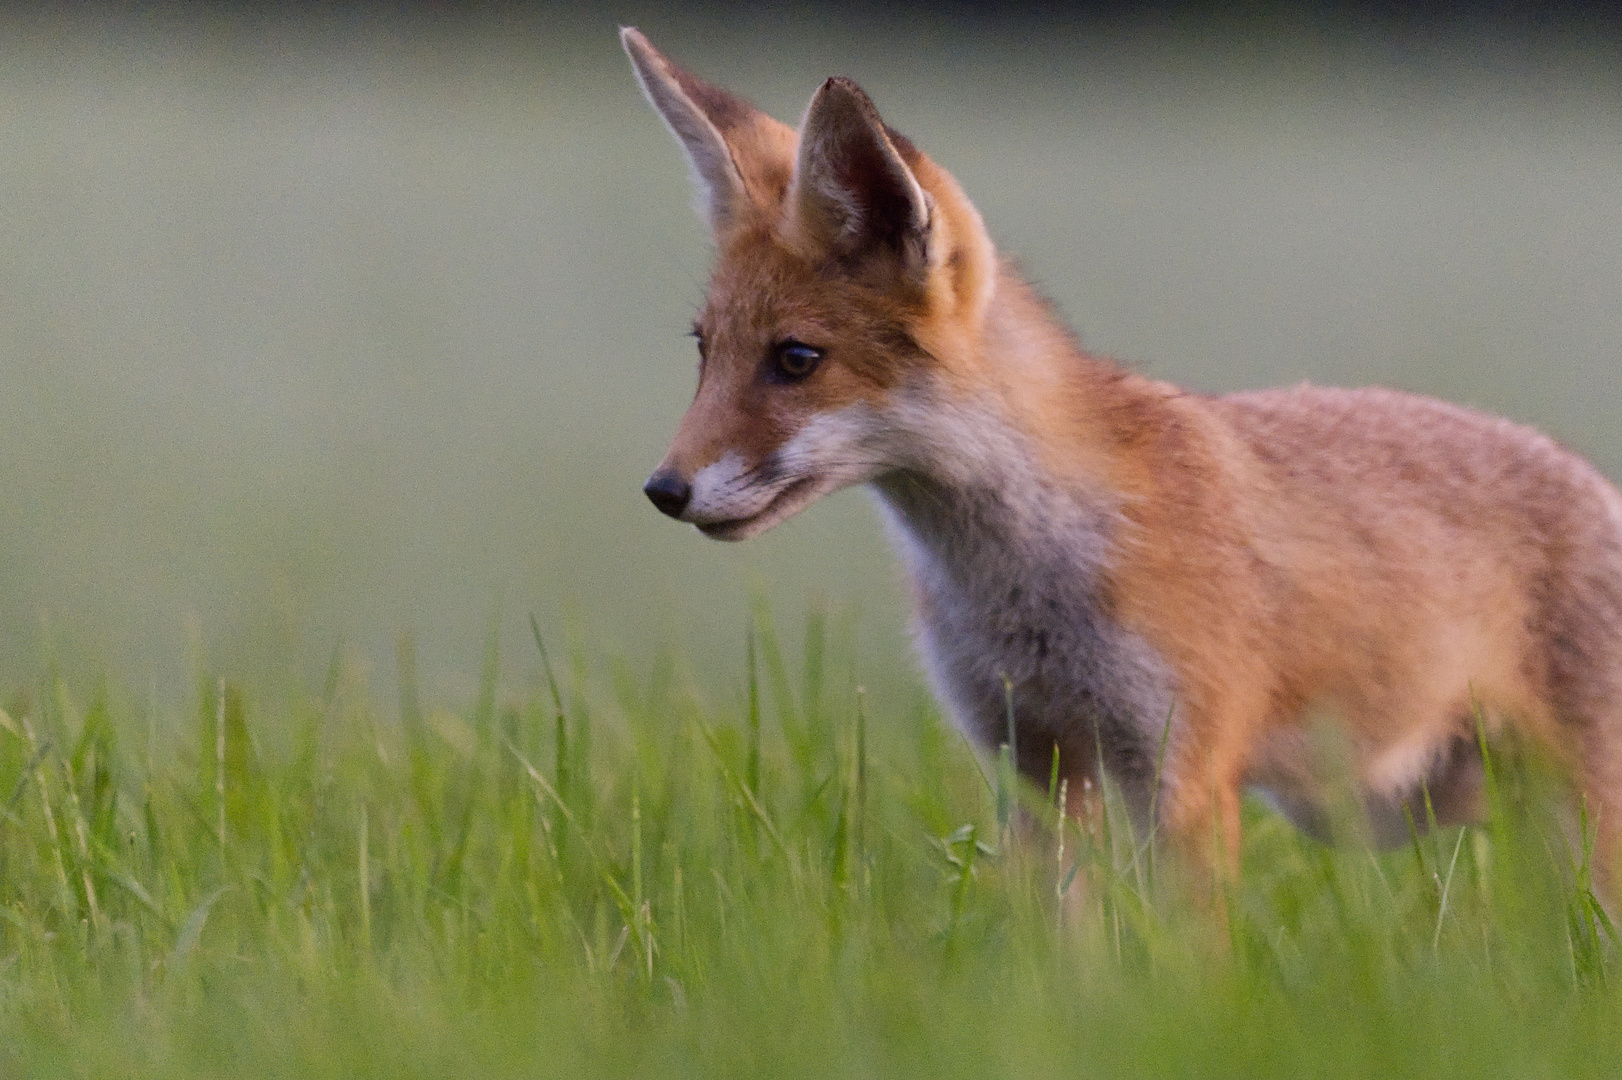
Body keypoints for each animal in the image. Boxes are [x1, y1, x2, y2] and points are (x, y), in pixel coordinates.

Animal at [616, 27, 1622, 888]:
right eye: (706, 352)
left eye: (796, 360)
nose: (663, 490)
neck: (1025, 578)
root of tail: (1595, 480)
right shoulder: (1038, 769)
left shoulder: (1180, 772)